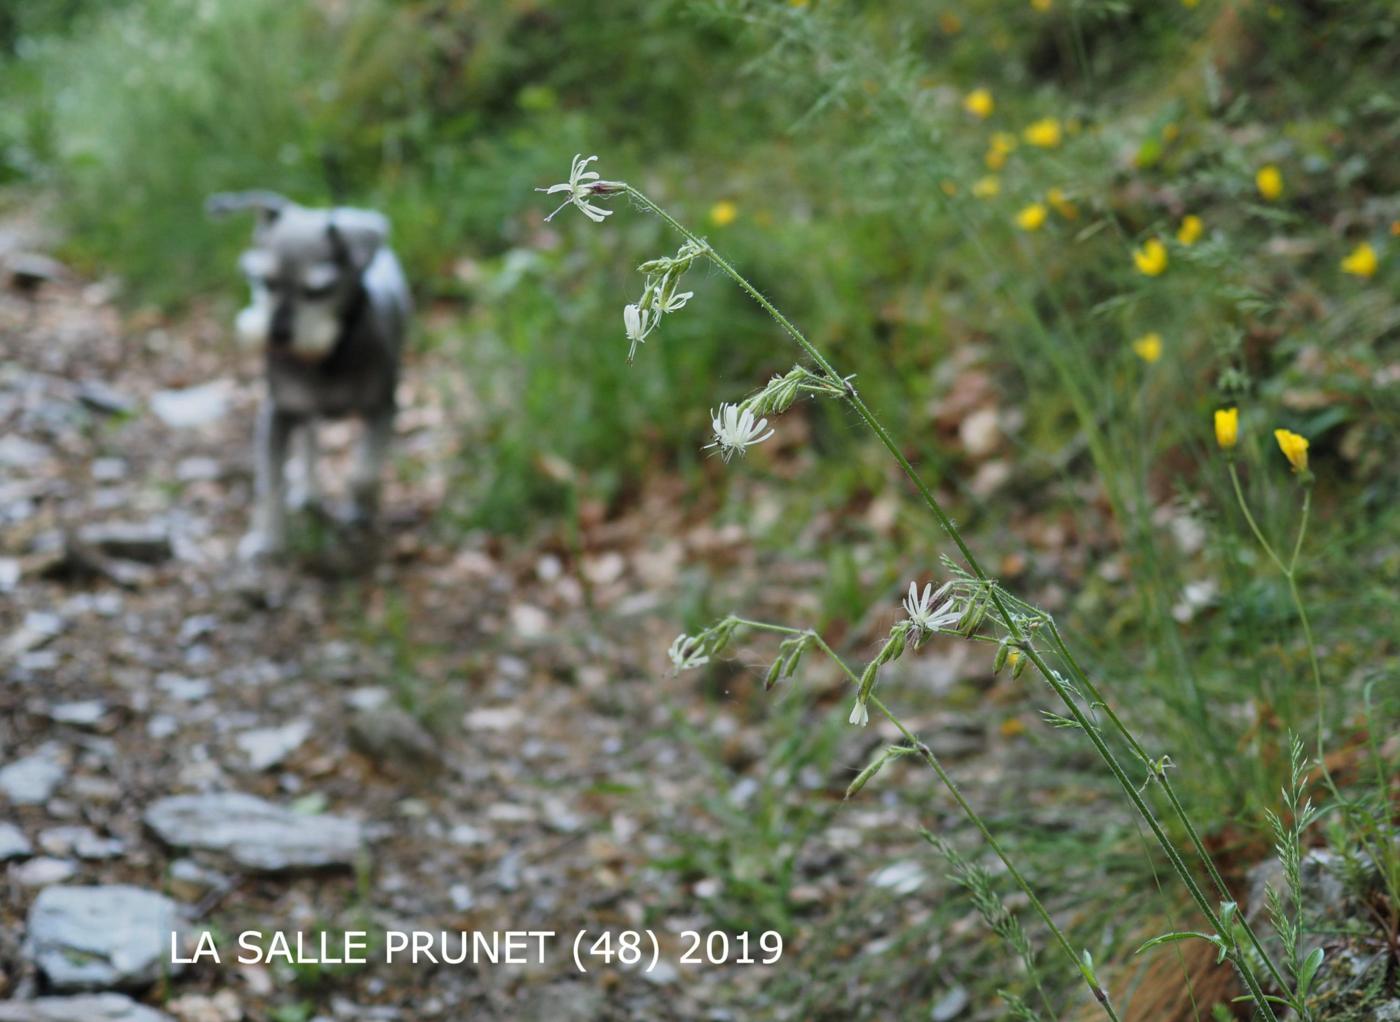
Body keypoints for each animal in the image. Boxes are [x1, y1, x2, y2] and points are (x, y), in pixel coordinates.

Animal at [204, 190, 408, 557]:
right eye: (265, 281)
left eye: (318, 291)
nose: (277, 335)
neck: (326, 357)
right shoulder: (279, 414)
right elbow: (270, 483)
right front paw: (267, 541)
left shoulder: (384, 407)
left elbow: (365, 472)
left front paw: (360, 506)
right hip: (302, 412)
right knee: (310, 442)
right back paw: (309, 491)